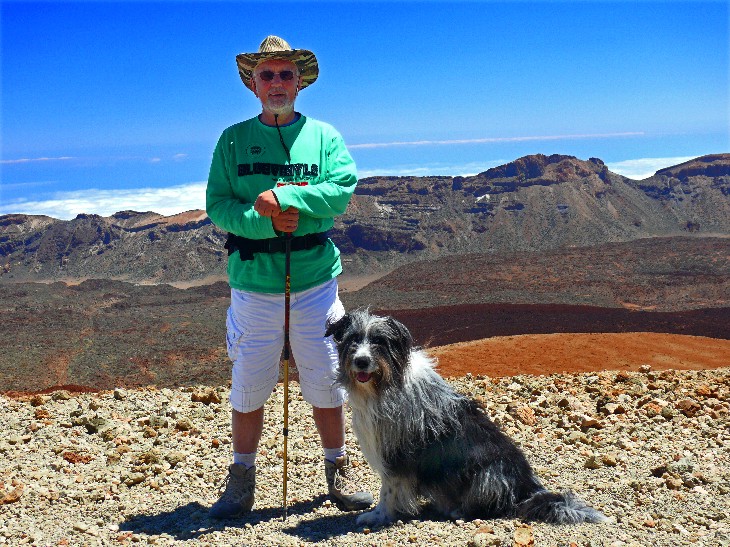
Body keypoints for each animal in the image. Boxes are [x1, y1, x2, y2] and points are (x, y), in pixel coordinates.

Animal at [328, 310, 604, 528]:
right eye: (353, 339)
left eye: (379, 341)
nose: (361, 361)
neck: (384, 384)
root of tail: (528, 488)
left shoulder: (397, 456)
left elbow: (388, 491)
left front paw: (378, 516)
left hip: (487, 473)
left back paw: (459, 510)